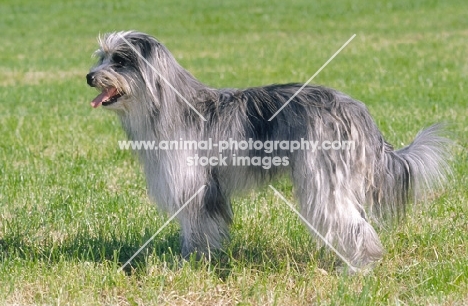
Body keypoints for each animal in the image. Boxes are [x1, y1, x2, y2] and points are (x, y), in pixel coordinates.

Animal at [86, 31, 452, 268]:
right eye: (102, 57)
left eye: (120, 61)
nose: (89, 76)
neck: (169, 106)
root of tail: (355, 110)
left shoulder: (196, 187)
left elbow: (197, 230)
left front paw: (189, 266)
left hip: (323, 179)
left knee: (352, 224)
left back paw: (359, 267)